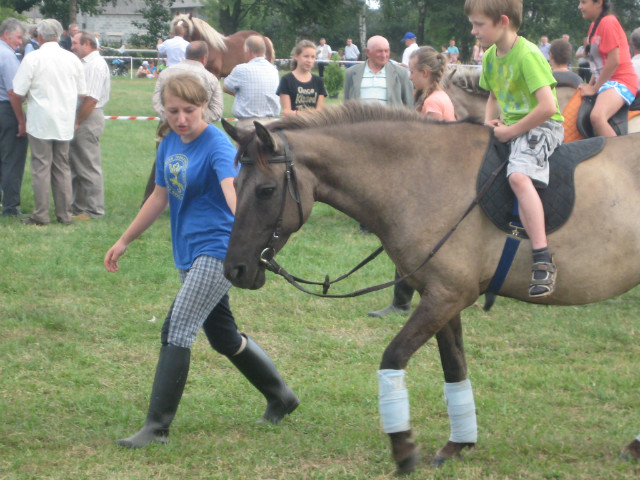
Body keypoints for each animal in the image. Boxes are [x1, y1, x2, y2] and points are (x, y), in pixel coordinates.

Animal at [220, 103, 640, 474]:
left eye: (266, 191)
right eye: (235, 185)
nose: (235, 269)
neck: (424, 177)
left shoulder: (447, 296)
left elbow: (393, 356)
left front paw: (403, 447)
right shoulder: (442, 298)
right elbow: (454, 368)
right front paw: (458, 444)